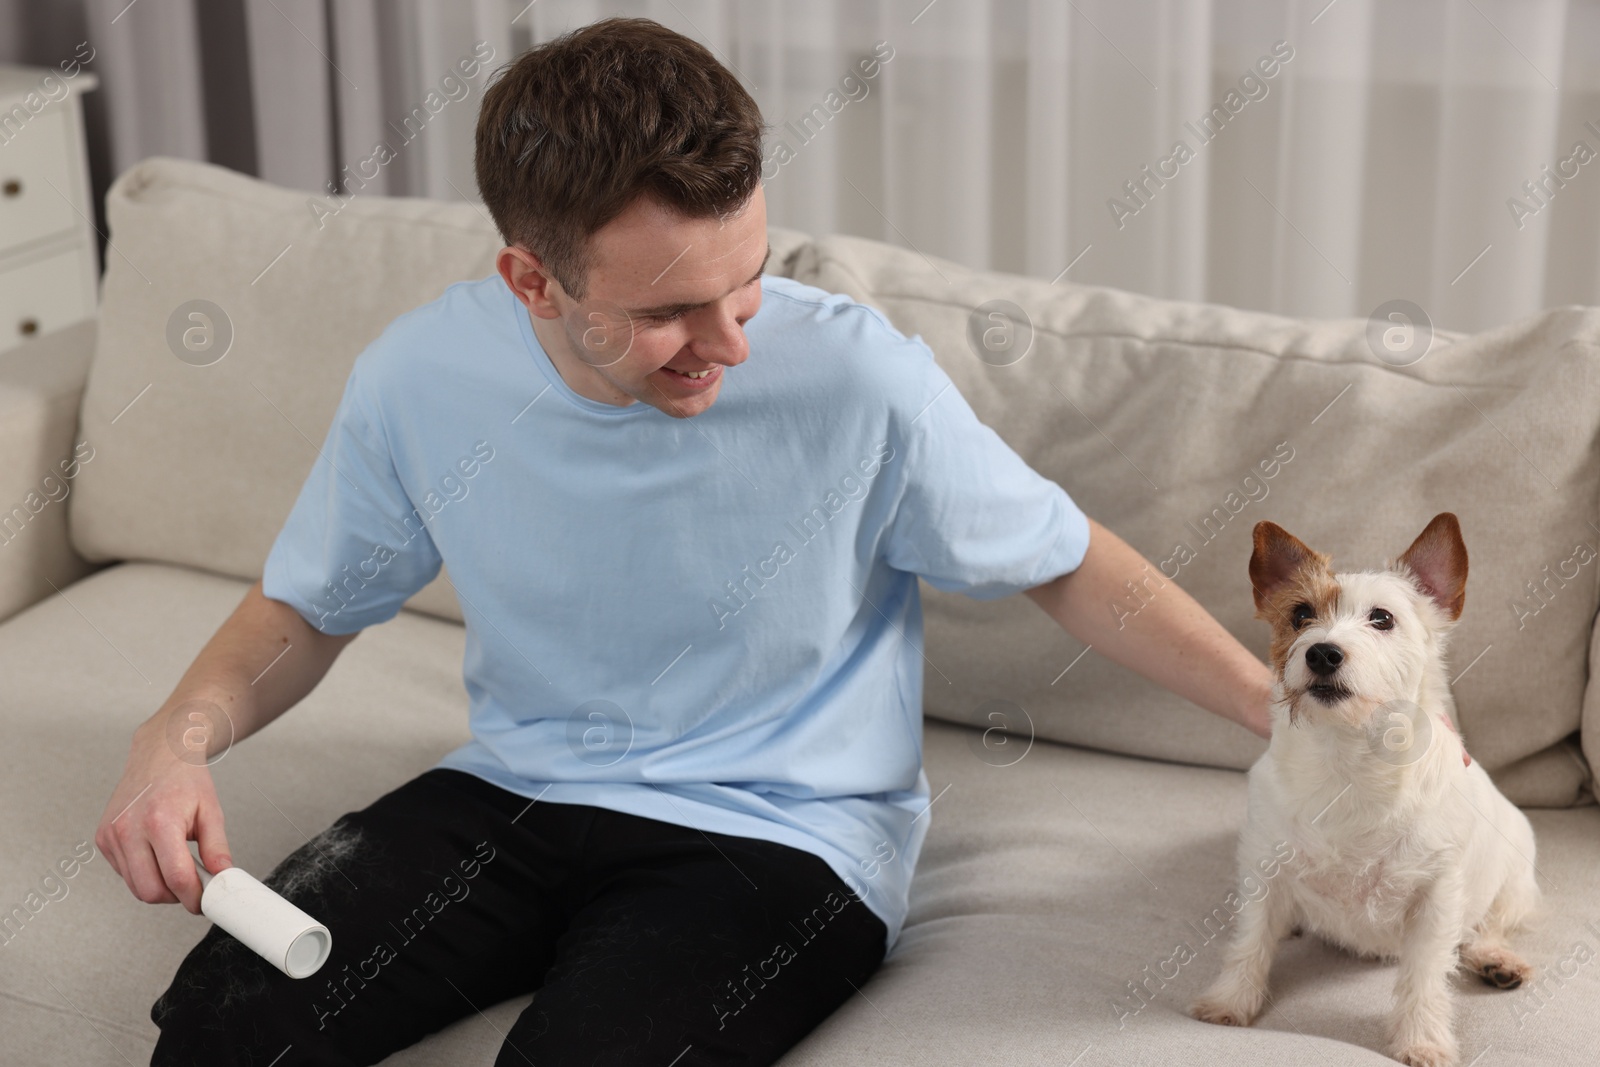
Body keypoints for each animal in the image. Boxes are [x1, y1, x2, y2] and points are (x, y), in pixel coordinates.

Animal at [1196, 511, 1542, 1062]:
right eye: (1300, 615)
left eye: (1382, 619)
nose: (1322, 653)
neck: (1348, 760)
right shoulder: (1263, 868)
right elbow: (1250, 942)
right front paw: (1230, 1001)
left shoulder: (1437, 896)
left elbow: (1425, 975)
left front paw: (1422, 1039)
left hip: (1514, 881)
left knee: (1487, 926)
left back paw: (1496, 959)